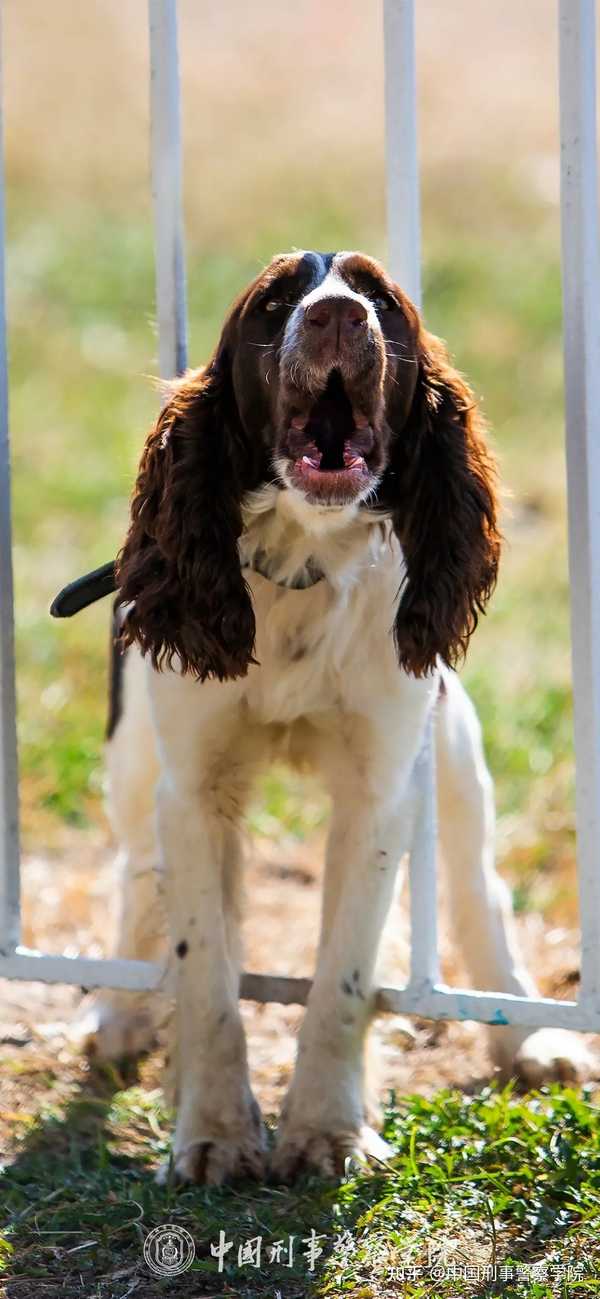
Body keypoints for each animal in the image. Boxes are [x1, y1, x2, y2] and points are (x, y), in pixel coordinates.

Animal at [84, 250, 589, 1189]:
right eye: (277, 299)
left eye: (379, 298)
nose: (335, 315)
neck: (302, 564)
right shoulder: (193, 788)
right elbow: (206, 969)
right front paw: (214, 1132)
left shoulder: (382, 788)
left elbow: (343, 976)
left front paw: (326, 1130)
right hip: (135, 757)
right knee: (137, 868)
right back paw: (120, 1015)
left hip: (452, 746)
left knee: (479, 887)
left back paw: (532, 1033)